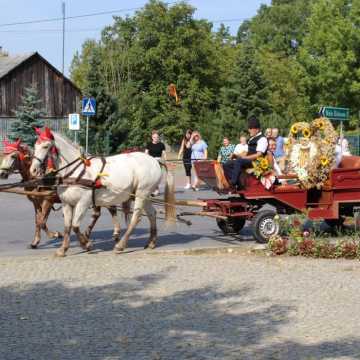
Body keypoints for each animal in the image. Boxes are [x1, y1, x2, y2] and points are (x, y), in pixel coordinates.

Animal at [29, 129, 176, 256]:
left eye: (46, 146)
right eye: (35, 145)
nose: (33, 170)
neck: (76, 171)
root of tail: (154, 161)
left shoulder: (83, 202)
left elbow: (75, 225)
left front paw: (86, 244)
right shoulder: (66, 203)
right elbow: (67, 227)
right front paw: (63, 249)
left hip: (141, 193)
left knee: (136, 218)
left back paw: (120, 245)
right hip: (144, 195)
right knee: (152, 214)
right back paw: (151, 242)